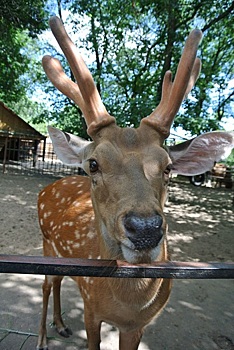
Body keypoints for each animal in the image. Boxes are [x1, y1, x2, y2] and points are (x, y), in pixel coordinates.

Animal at [35, 16, 233, 350]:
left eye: (168, 167)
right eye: (93, 164)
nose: (144, 228)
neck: (128, 304)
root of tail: (47, 188)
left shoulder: (138, 325)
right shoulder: (90, 307)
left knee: (59, 280)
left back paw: (61, 325)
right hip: (47, 244)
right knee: (47, 285)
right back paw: (42, 339)